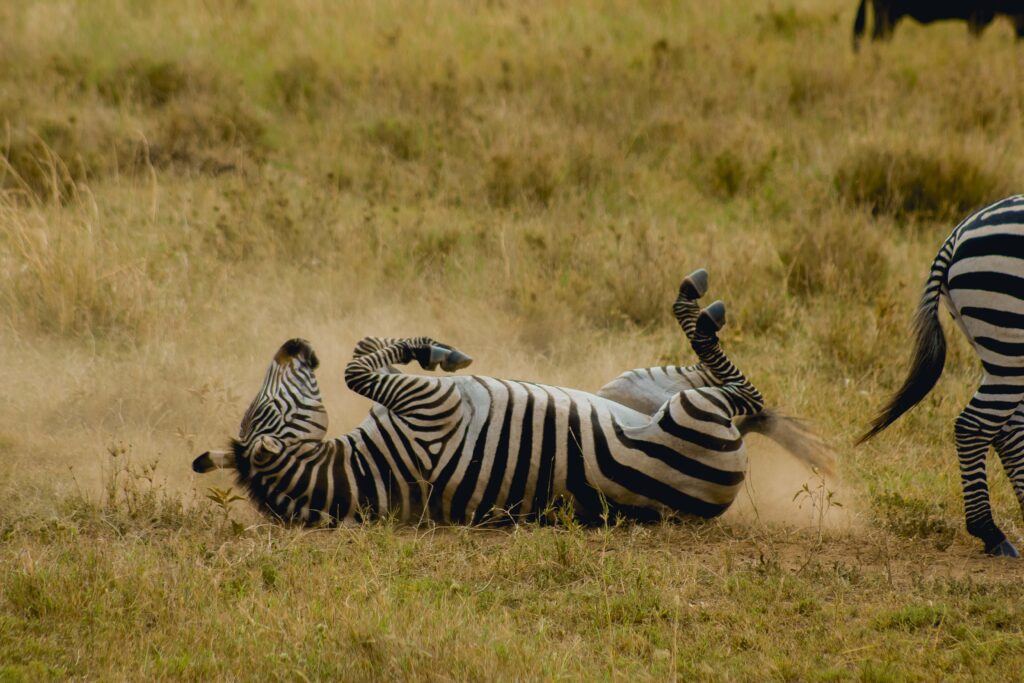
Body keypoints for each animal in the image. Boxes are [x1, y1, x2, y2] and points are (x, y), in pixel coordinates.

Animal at [193, 270, 823, 528]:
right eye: (268, 409)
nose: (291, 345)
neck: (364, 473)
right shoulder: (432, 410)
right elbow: (355, 369)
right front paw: (435, 353)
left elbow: (363, 352)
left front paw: (431, 348)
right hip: (700, 415)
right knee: (742, 392)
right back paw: (699, 305)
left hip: (629, 387)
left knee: (729, 388)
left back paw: (702, 307)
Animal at [860, 194, 1019, 557]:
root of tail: (957, 234)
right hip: (1009, 336)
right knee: (975, 425)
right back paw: (990, 532)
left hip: (998, 348)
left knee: (1006, 429)